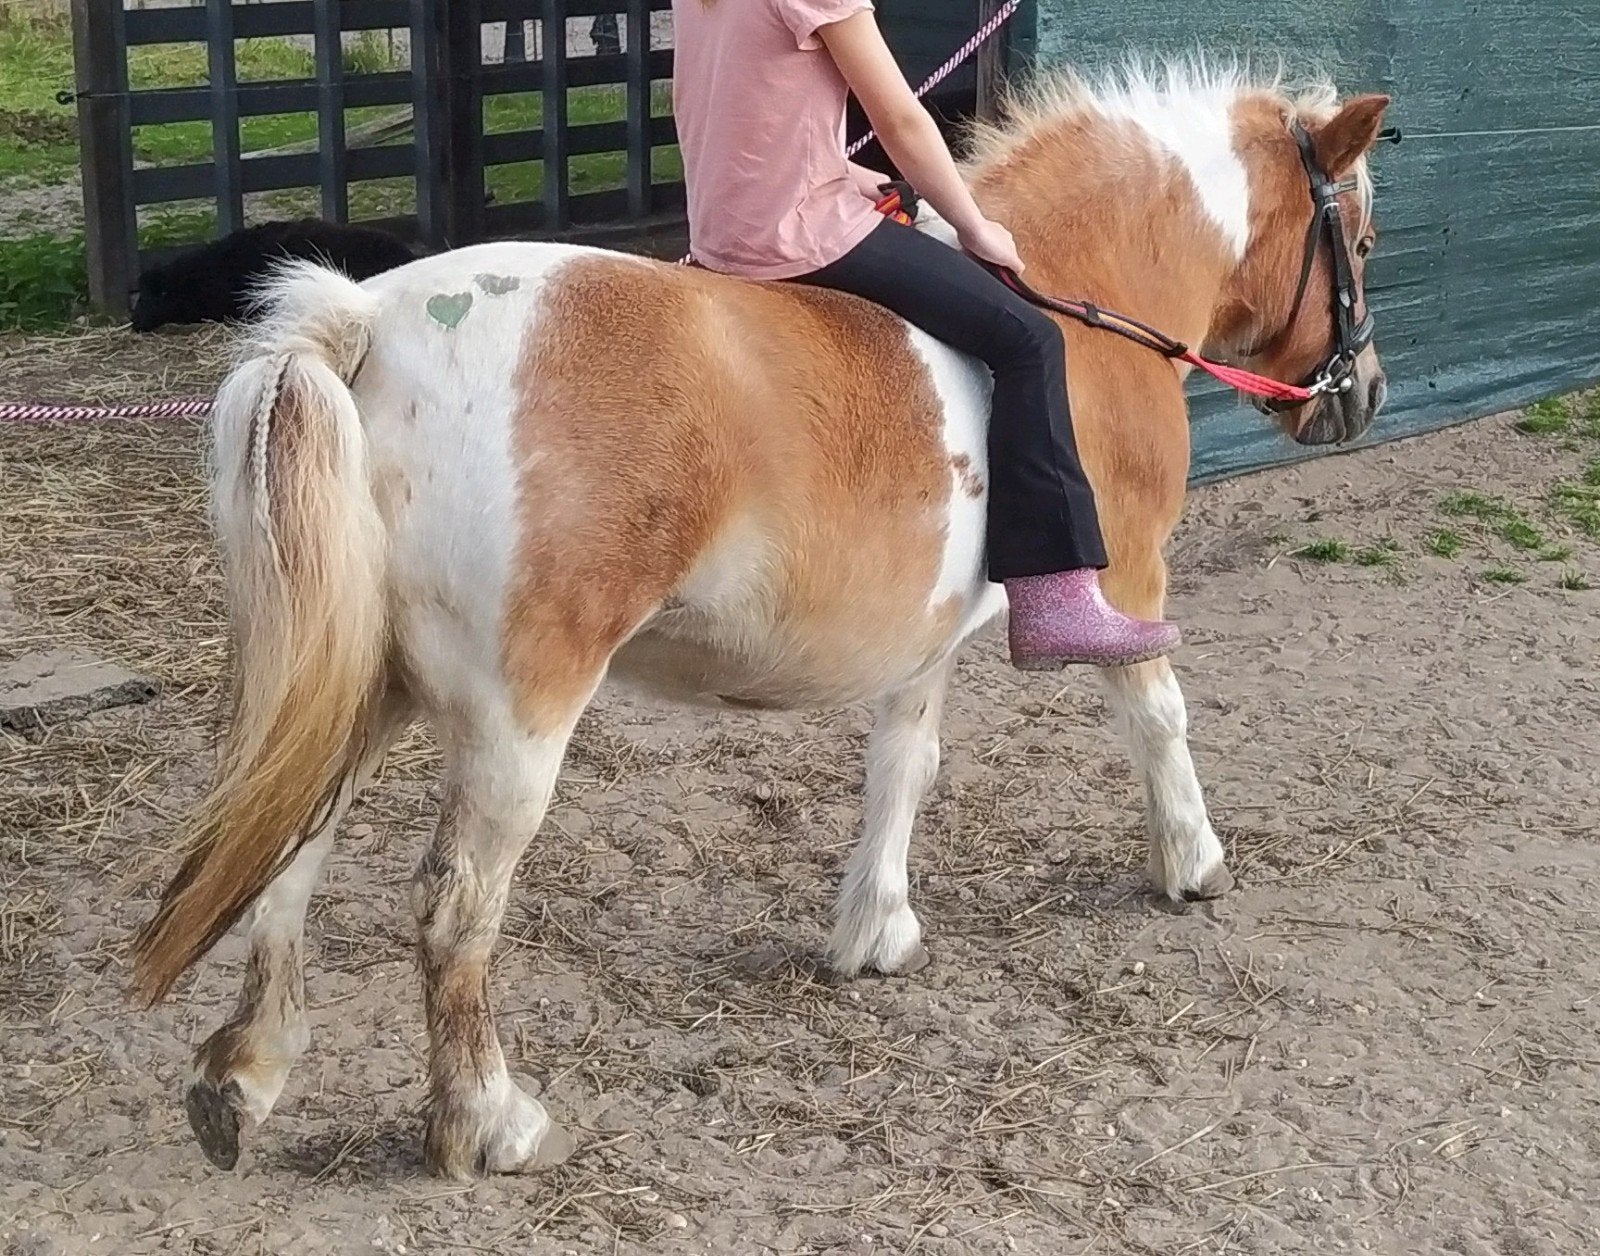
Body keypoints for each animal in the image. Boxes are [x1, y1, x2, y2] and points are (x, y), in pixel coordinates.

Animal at [129, 62, 1391, 1179]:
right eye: (1363, 242)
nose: (1363, 391)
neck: (1075, 304)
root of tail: (365, 320)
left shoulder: (922, 635)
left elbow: (903, 766)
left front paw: (873, 929)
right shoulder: (1126, 577)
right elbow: (1157, 715)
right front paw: (1193, 861)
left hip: (360, 687)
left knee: (286, 862)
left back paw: (242, 1080)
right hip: (516, 717)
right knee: (453, 909)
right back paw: (489, 1121)